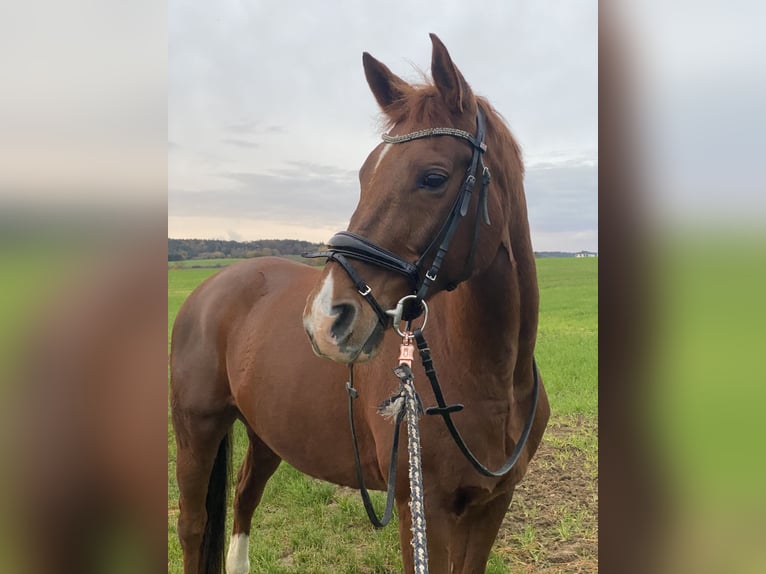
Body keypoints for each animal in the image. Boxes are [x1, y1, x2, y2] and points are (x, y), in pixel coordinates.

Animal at [171, 36, 548, 574]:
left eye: (434, 177)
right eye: (365, 174)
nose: (325, 319)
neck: (493, 378)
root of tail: (210, 288)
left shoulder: (491, 505)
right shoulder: (423, 509)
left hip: (266, 433)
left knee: (244, 499)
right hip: (195, 430)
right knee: (193, 524)